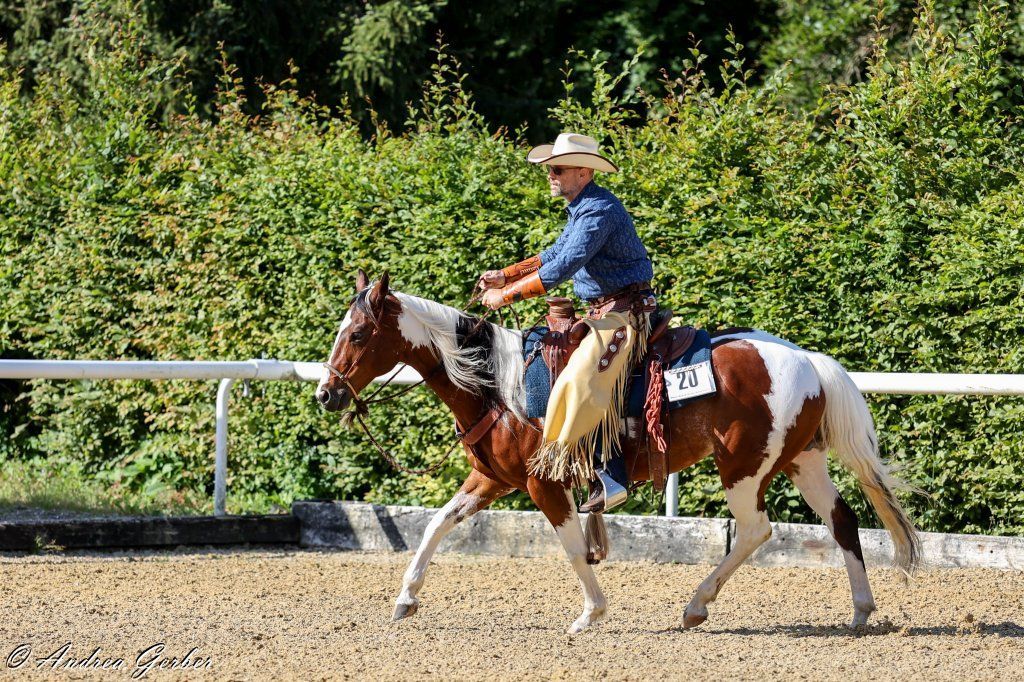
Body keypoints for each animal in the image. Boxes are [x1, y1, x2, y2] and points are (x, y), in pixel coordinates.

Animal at [316, 270, 921, 634]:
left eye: (360, 332)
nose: (327, 393)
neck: (500, 385)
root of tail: (807, 359)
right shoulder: (492, 480)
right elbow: (436, 524)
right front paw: (406, 598)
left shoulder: (542, 484)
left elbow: (572, 548)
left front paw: (591, 613)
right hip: (801, 459)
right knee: (841, 519)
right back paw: (860, 610)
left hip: (744, 467)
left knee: (755, 529)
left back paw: (696, 605)